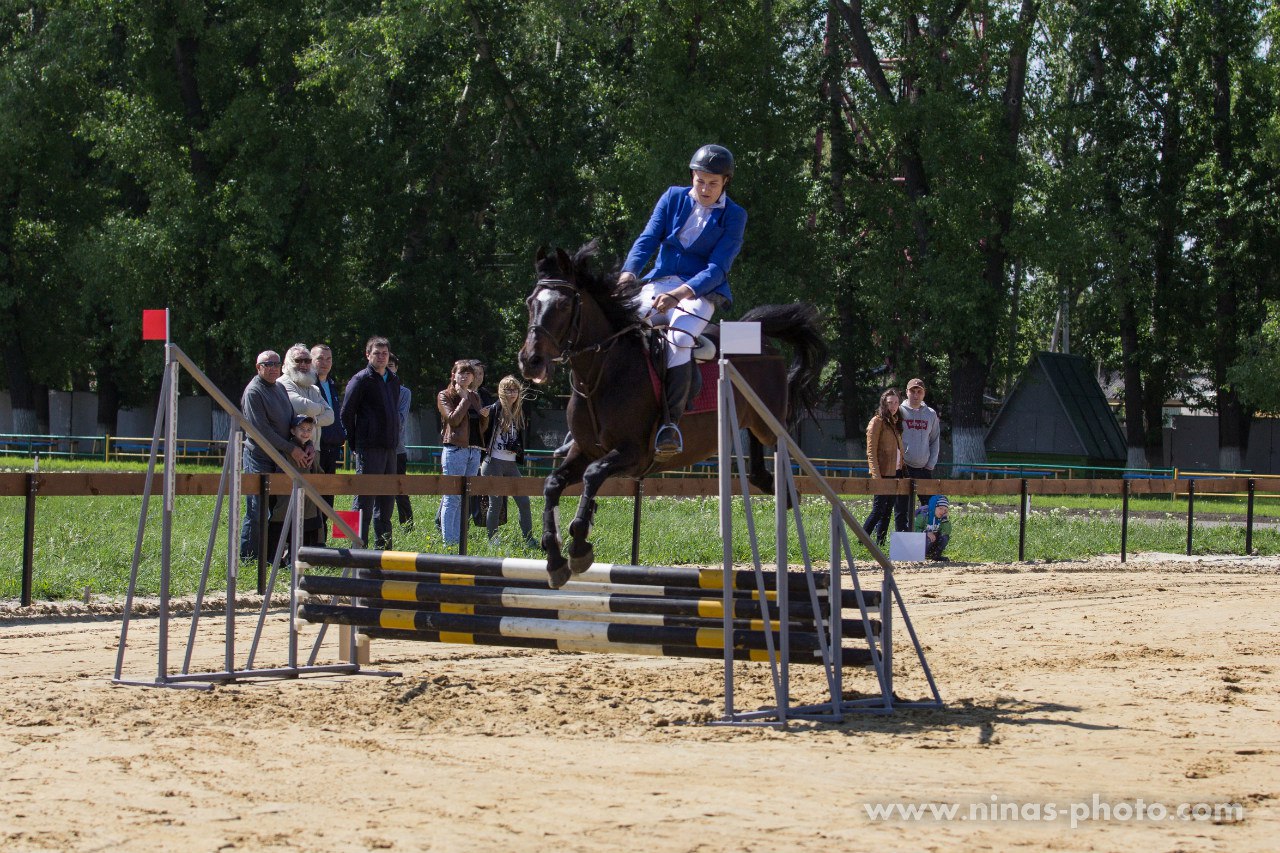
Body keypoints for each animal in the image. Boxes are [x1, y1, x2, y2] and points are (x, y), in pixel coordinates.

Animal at [517, 239, 824, 584]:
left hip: (769, 423)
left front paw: (580, 545)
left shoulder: (633, 453)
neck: (601, 372)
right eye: (530, 302)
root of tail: (761, 341)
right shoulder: (584, 450)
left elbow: (592, 475)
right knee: (760, 469)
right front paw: (555, 558)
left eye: (563, 306)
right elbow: (552, 484)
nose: (530, 361)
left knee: (785, 455)